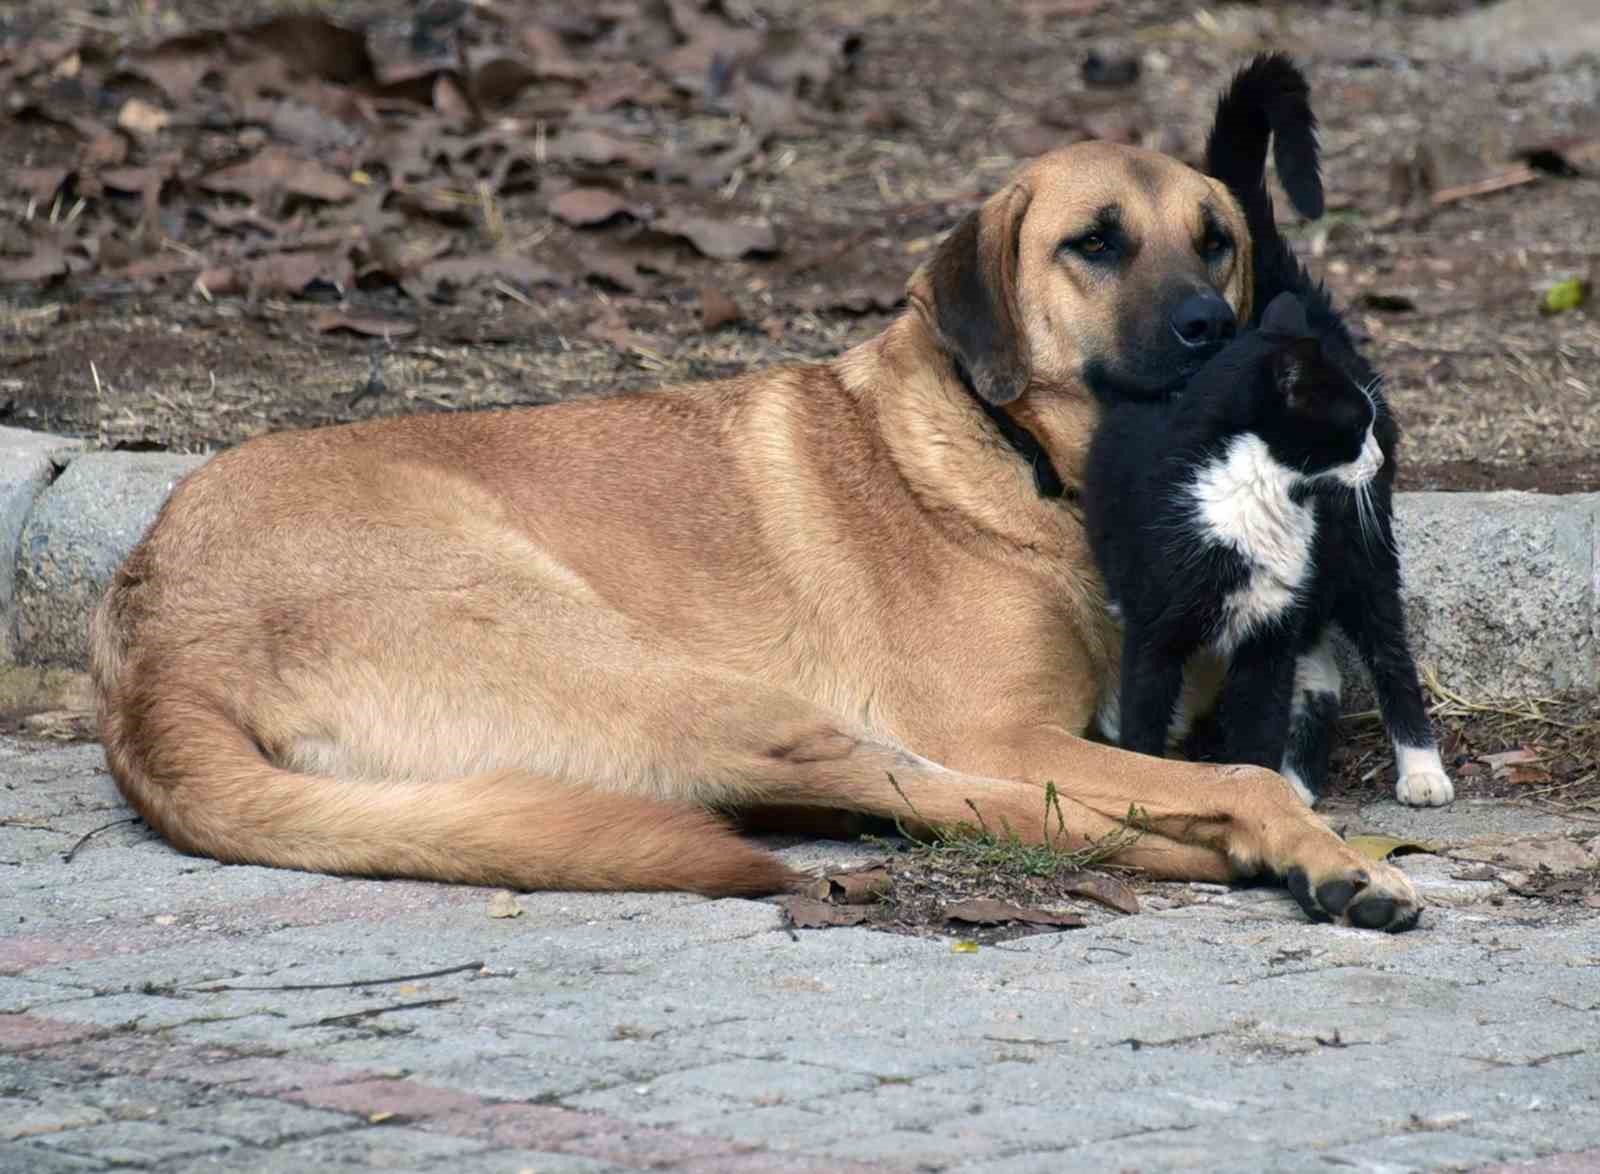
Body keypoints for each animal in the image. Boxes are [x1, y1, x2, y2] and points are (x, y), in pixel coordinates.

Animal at [1088, 289, 1388, 777]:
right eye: (1358, 425)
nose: (1379, 460)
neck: (1251, 493)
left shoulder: (1272, 635)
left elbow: (1262, 723)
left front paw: (1261, 783)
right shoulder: (1154, 632)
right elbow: (1145, 712)